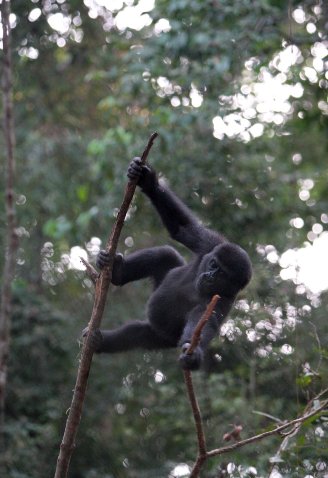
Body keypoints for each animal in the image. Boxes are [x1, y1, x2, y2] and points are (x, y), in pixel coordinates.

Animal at [87, 157, 251, 370]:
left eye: (223, 275)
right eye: (214, 265)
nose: (209, 276)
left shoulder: (221, 301)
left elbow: (204, 323)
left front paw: (193, 355)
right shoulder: (212, 244)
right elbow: (182, 227)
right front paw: (149, 181)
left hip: (162, 338)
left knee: (137, 335)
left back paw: (101, 342)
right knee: (164, 255)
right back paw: (117, 271)